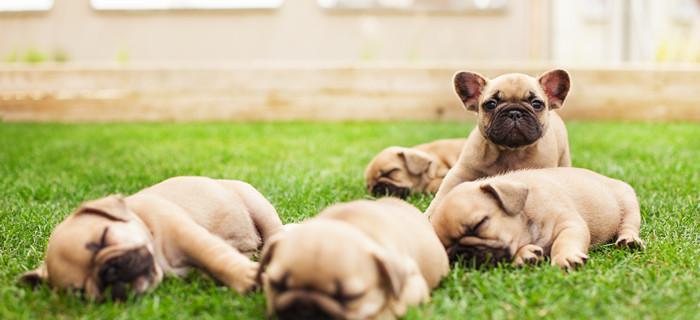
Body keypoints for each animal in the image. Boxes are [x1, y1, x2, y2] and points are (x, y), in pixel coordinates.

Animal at [19, 176, 282, 302]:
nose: (108, 274)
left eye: (104, 238)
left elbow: (213, 255)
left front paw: (246, 278)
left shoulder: (188, 234)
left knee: (274, 233)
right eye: (81, 293)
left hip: (258, 205)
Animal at [424, 69, 572, 216]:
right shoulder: (461, 172)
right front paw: (430, 214)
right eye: (491, 104)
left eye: (537, 104)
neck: (511, 151)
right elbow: (444, 192)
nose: (514, 112)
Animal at [432, 168, 644, 270]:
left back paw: (629, 240)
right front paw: (524, 255)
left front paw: (565, 257)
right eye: (446, 250)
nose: (461, 253)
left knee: (628, 225)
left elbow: (563, 242)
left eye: (479, 224)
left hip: (627, 202)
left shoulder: (569, 225)